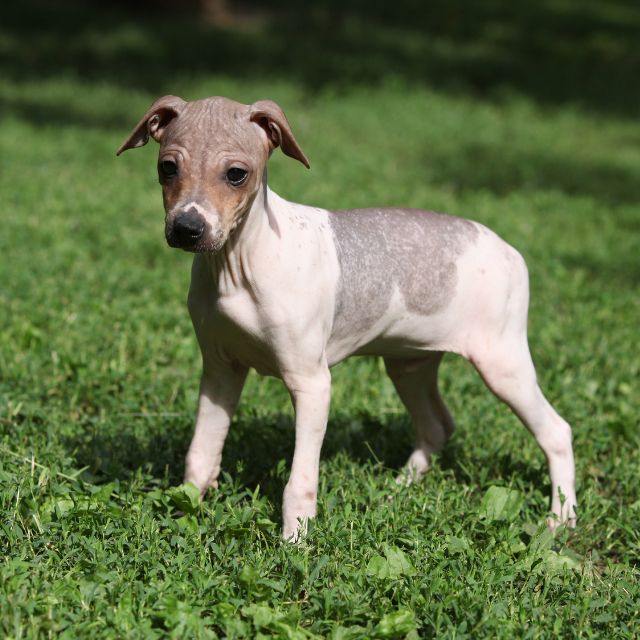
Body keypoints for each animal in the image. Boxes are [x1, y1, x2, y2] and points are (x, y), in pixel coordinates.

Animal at [117, 95, 576, 540]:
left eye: (236, 174)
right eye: (167, 167)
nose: (187, 228)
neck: (236, 265)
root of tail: (511, 251)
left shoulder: (312, 383)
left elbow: (300, 480)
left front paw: (295, 542)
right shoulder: (219, 369)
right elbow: (201, 452)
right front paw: (187, 511)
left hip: (502, 365)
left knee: (557, 432)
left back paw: (561, 519)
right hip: (409, 364)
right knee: (437, 424)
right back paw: (398, 489)